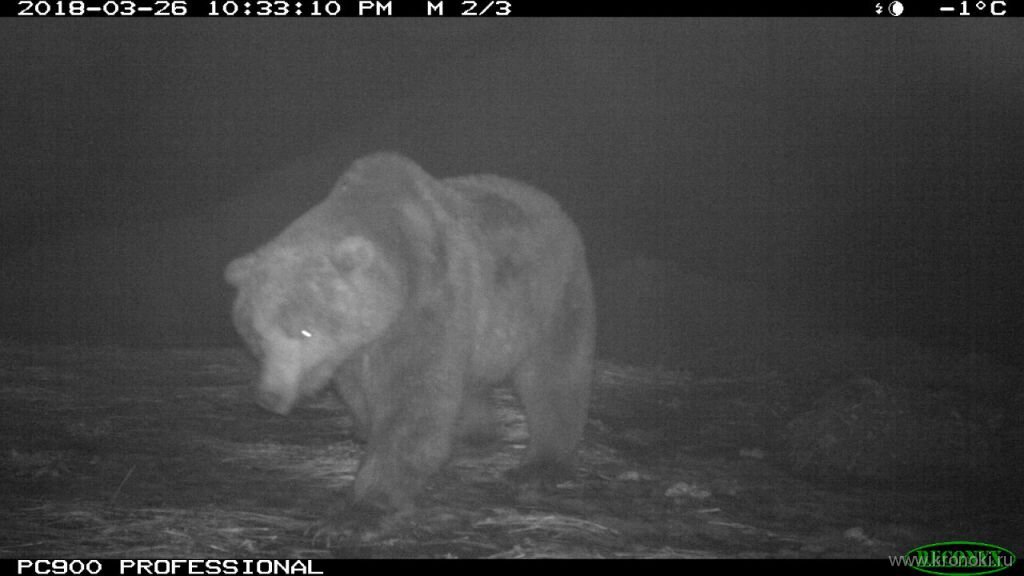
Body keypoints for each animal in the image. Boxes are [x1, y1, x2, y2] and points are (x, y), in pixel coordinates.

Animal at [224, 152, 593, 510]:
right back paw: (473, 431)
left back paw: (540, 466)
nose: (269, 397)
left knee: (553, 378)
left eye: (305, 332)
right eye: (255, 336)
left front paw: (367, 504)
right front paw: (364, 430)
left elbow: (414, 400)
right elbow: (360, 392)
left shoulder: (427, 298)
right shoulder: (354, 347)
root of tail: (552, 204)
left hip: (551, 299)